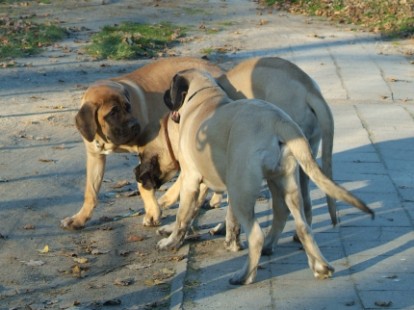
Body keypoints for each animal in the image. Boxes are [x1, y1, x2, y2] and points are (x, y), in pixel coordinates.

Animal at [60, 57, 223, 230]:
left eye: (128, 107)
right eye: (113, 113)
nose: (135, 125)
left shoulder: (148, 148)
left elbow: (143, 183)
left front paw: (152, 214)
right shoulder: (95, 157)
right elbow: (90, 192)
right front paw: (79, 219)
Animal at [158, 69, 372, 286]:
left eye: (171, 87)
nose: (164, 95)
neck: (204, 95)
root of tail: (277, 121)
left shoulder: (190, 179)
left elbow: (183, 216)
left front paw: (171, 241)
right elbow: (210, 214)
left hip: (242, 190)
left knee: (257, 235)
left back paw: (244, 275)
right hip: (285, 183)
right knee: (300, 223)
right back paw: (320, 266)